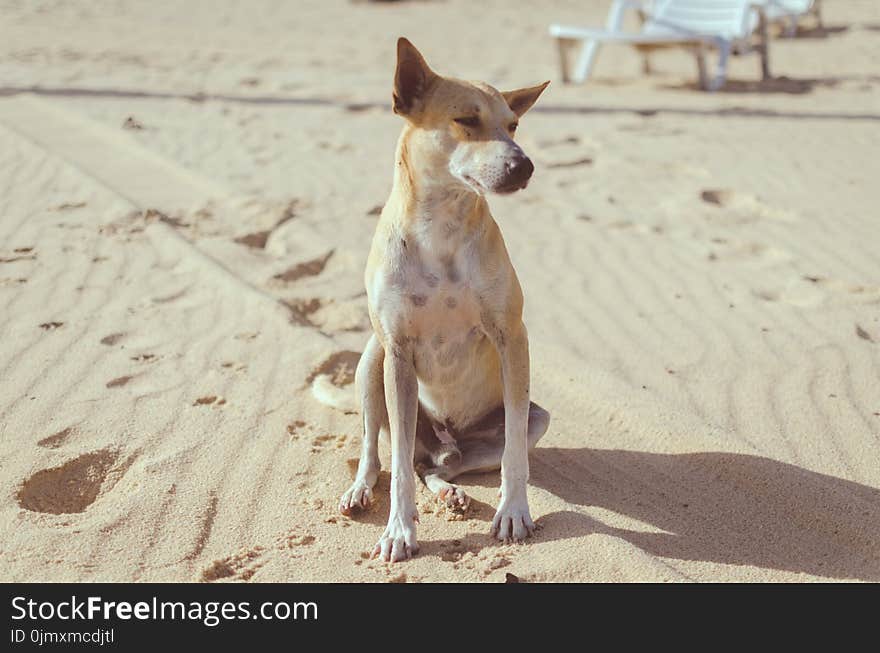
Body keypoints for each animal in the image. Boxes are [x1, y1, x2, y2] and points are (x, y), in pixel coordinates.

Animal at [338, 38, 552, 564]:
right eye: (466, 119)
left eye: (513, 125)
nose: (524, 165)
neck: (442, 229)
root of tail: (443, 441)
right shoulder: (396, 352)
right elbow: (395, 464)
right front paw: (399, 530)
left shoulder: (512, 337)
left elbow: (514, 451)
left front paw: (514, 511)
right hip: (371, 361)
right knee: (379, 451)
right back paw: (361, 490)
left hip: (531, 421)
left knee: (436, 467)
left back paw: (452, 490)